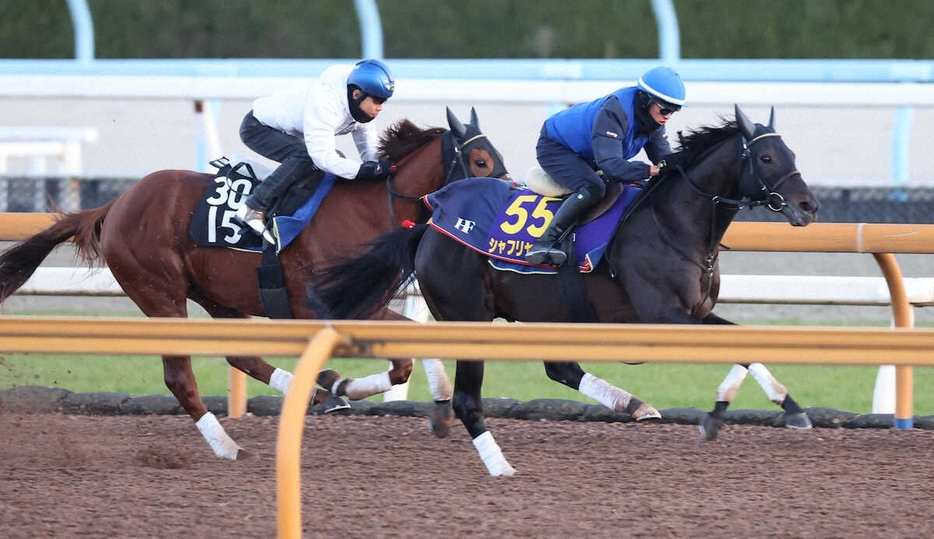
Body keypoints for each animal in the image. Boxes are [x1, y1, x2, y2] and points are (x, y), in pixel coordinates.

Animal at [0, 108, 512, 460]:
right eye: (479, 160)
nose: (510, 206)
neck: (371, 211)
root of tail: (116, 204)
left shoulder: (362, 304)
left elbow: (409, 351)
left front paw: (431, 404)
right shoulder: (320, 307)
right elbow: (402, 352)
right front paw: (345, 385)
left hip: (218, 296)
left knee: (240, 354)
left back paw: (312, 389)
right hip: (161, 294)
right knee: (179, 376)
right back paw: (230, 445)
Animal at [308, 106, 820, 476]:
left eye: (794, 154)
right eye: (767, 158)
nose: (809, 206)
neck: (674, 223)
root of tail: (431, 223)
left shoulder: (695, 312)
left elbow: (745, 340)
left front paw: (774, 407)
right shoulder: (664, 316)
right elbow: (736, 344)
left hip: (544, 311)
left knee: (560, 367)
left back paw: (634, 404)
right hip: (469, 314)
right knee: (468, 399)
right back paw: (500, 466)